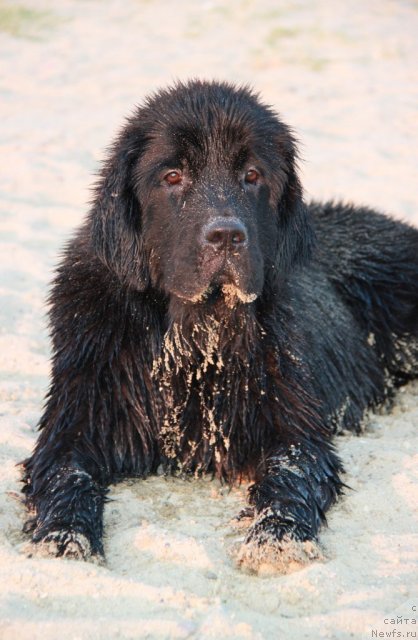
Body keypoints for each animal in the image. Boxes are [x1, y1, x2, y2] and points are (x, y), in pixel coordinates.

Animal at [22, 80, 418, 576]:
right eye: (173, 176)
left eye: (251, 175)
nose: (226, 236)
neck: (195, 339)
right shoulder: (78, 415)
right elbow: (65, 474)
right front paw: (63, 538)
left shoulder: (292, 424)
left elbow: (291, 472)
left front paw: (276, 538)